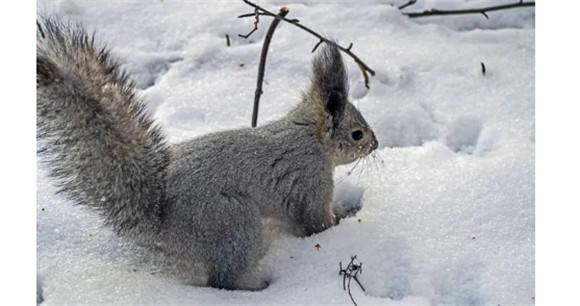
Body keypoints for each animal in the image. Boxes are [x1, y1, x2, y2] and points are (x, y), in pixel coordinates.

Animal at [37, 16, 380, 290]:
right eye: (357, 134)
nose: (375, 145)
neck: (310, 137)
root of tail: (159, 222)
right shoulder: (310, 183)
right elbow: (316, 221)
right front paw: (339, 223)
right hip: (234, 221)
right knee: (222, 279)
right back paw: (254, 288)